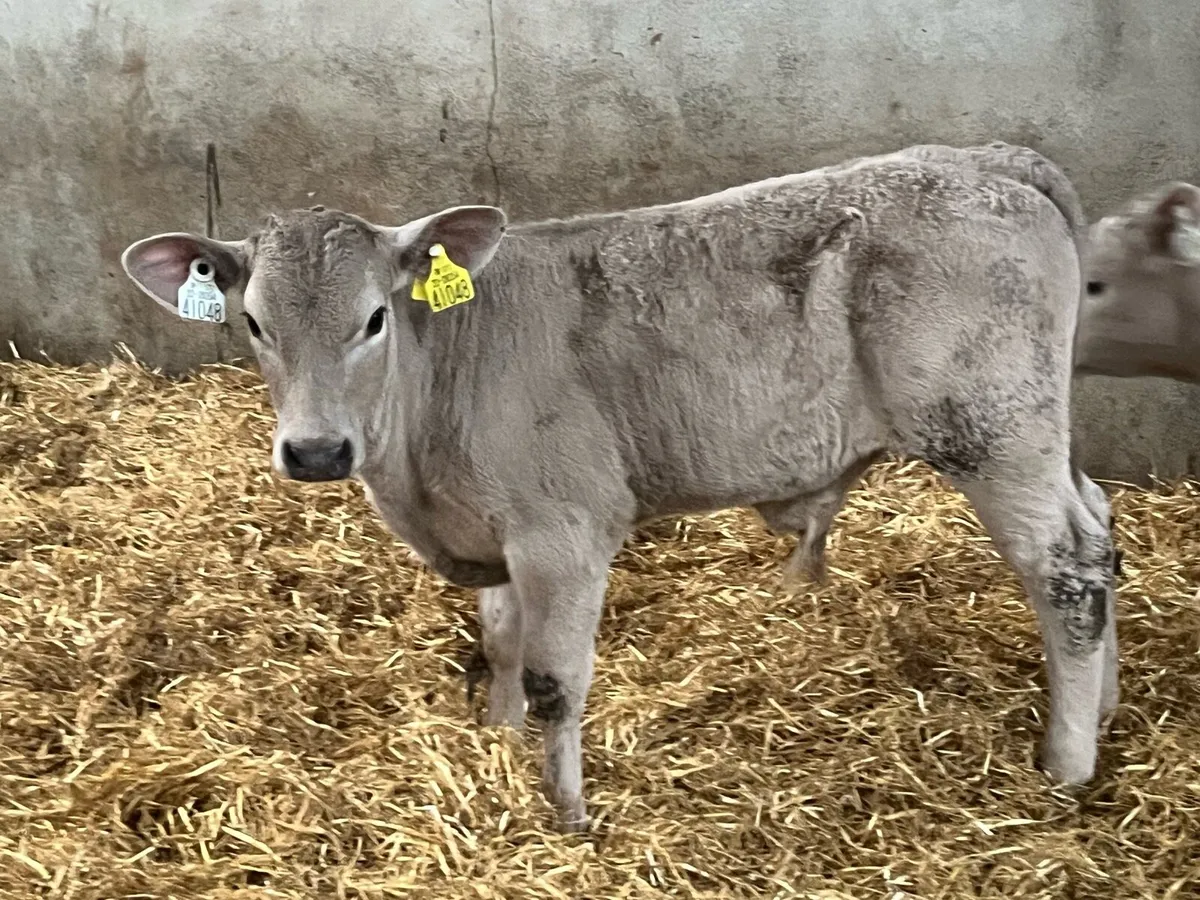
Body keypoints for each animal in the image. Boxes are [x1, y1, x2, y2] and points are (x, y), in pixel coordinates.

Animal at [121, 145, 1116, 832]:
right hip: (1042, 429)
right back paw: (1103, 711)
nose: (318, 450)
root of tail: (983, 159)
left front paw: (566, 817)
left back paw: (1066, 763)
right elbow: (501, 645)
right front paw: (495, 744)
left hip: (991, 431)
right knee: (1100, 532)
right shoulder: (498, 537)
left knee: (1064, 567)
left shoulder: (562, 533)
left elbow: (556, 677)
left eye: (373, 318)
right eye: (253, 323)